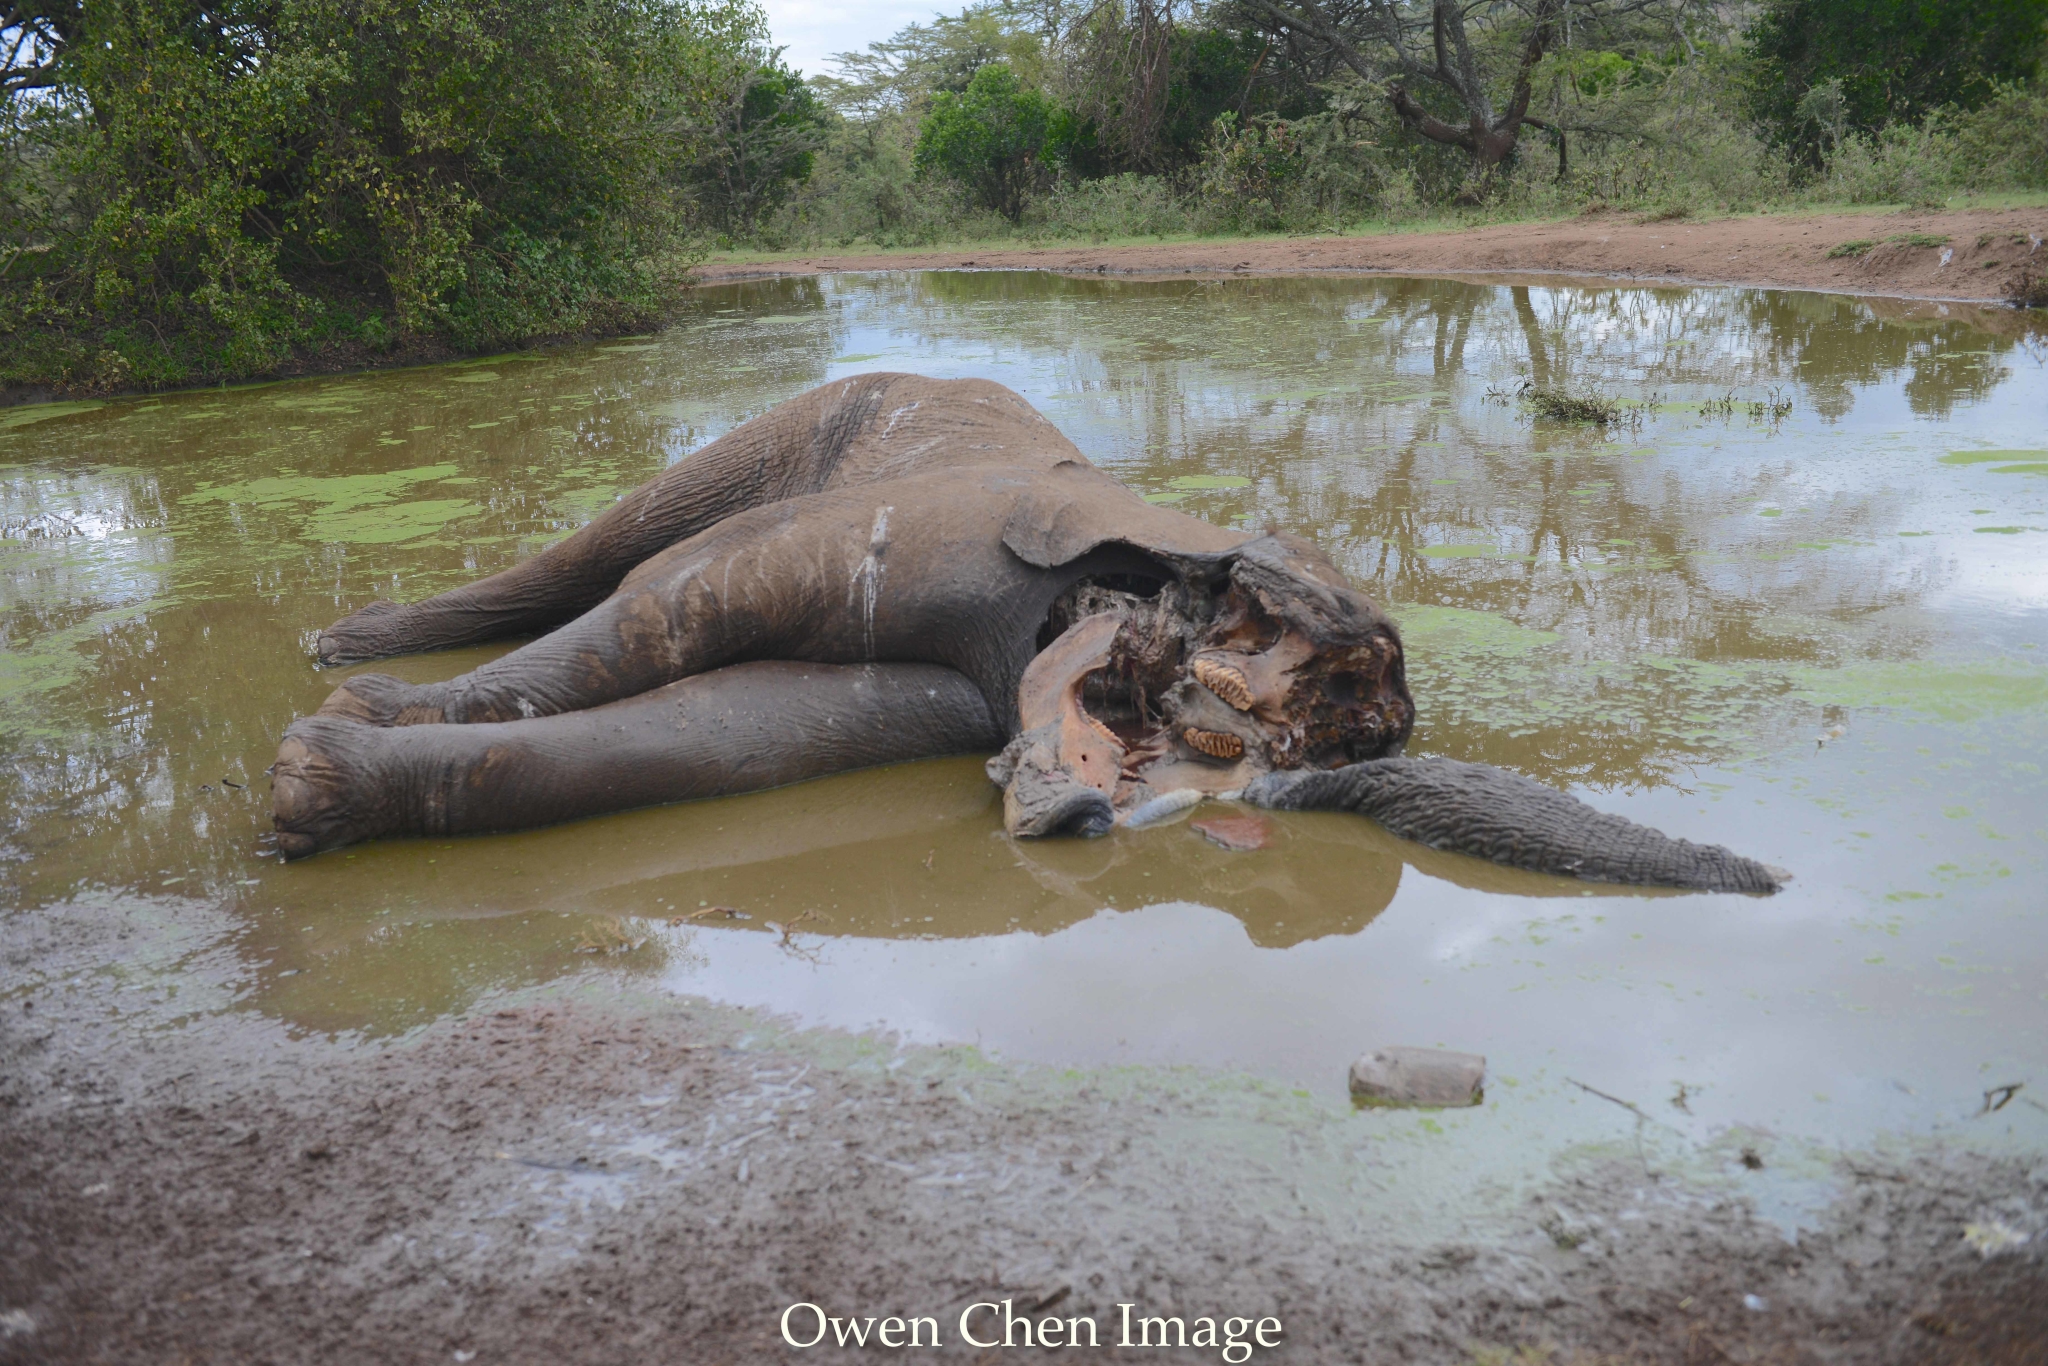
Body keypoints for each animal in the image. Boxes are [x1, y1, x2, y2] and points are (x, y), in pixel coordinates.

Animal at [268, 368, 1777, 897]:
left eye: (1325, 746)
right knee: (620, 550)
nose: (1251, 769)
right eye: (1252, 641)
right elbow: (655, 616)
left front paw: (316, 790)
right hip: (810, 421)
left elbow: (718, 744)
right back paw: (346, 649)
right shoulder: (921, 535)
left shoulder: (957, 693)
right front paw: (337, 735)